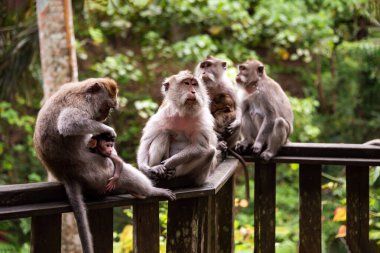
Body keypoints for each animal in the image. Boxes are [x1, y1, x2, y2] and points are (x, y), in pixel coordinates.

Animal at [33, 78, 175, 253]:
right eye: (108, 106)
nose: (105, 116)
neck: (83, 92)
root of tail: (67, 175)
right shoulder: (80, 105)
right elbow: (68, 124)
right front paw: (107, 129)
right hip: (96, 172)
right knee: (117, 169)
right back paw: (151, 191)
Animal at [194, 54, 251, 200]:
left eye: (208, 65)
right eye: (202, 65)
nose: (203, 72)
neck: (213, 85)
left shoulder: (229, 86)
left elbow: (238, 107)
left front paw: (236, 122)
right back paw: (220, 143)